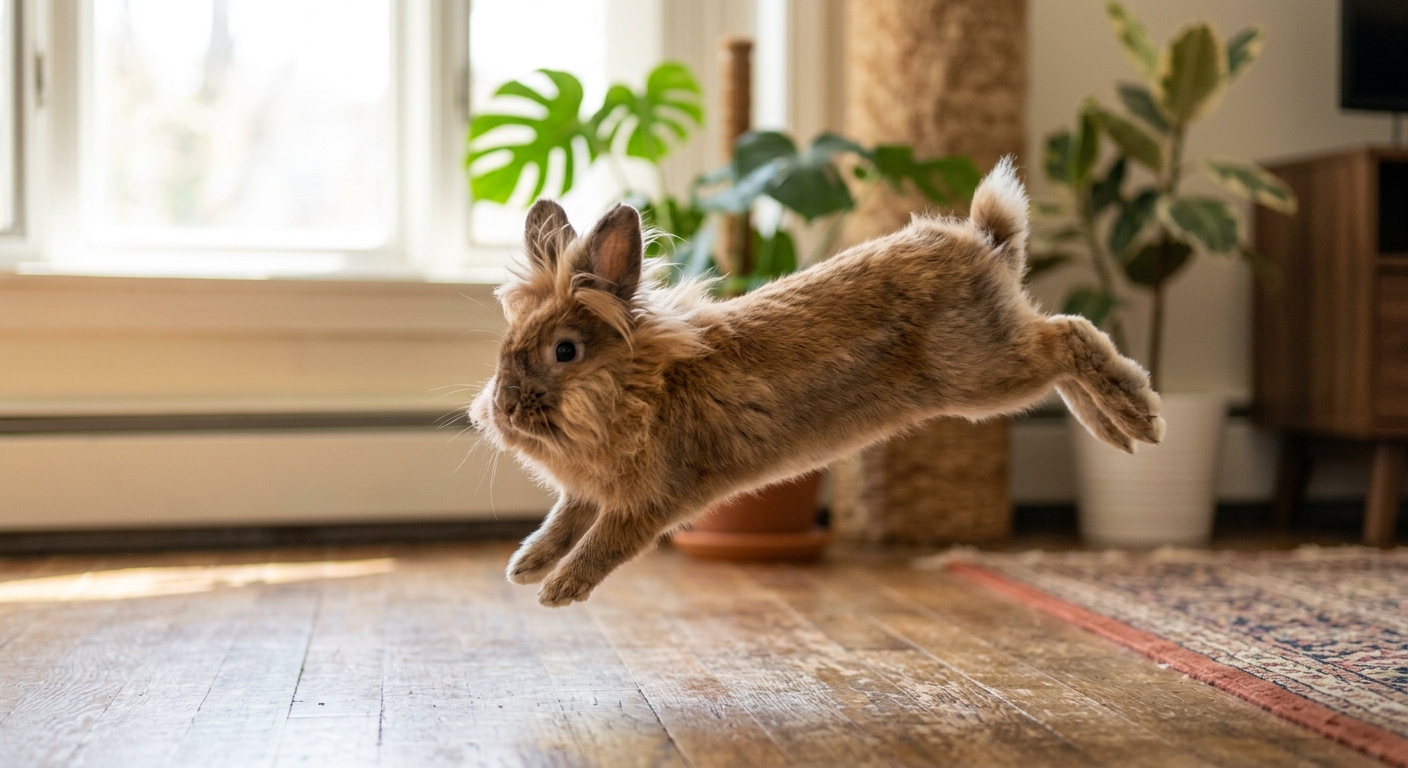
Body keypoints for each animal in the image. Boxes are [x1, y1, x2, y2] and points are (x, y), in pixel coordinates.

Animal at [469, 158, 1164, 607]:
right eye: (506, 347)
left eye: (565, 351)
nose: (503, 409)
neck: (643, 384)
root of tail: (986, 245)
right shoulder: (590, 491)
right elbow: (563, 521)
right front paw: (524, 567)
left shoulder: (651, 502)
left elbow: (604, 541)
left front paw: (558, 592)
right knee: (1066, 337)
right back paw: (1120, 428)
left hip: (983, 374)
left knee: (1071, 334)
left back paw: (1138, 417)